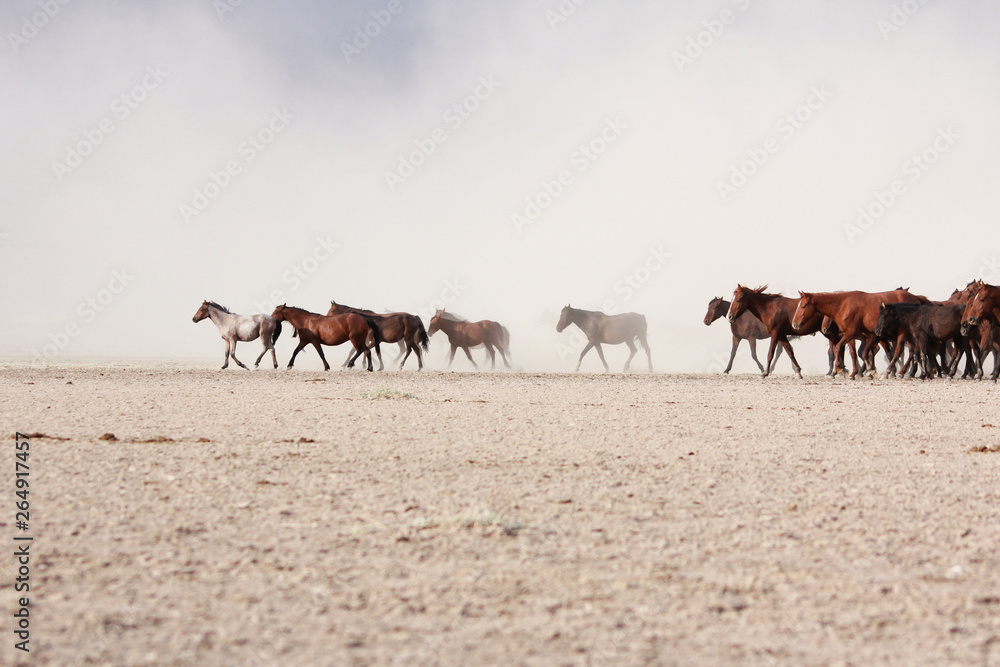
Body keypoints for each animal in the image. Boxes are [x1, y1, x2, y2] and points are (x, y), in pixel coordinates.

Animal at [791, 288, 923, 378]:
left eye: (803, 306)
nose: (794, 324)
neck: (843, 305)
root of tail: (916, 298)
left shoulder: (851, 332)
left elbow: (839, 348)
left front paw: (841, 369)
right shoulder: (853, 335)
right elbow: (855, 353)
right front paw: (857, 372)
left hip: (903, 332)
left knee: (899, 351)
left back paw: (890, 372)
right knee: (913, 351)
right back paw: (906, 372)